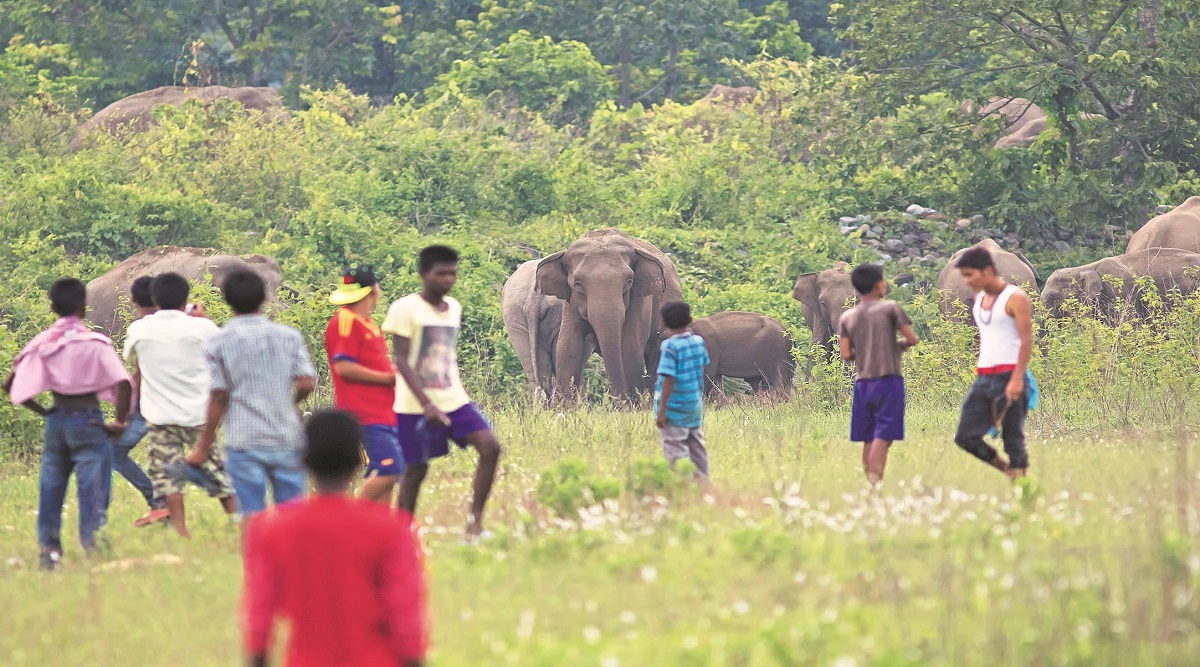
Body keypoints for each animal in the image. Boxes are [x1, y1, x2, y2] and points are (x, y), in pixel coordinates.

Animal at [536, 228, 682, 401]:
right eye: (577, 284)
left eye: (629, 282)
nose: (616, 398)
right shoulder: (570, 304)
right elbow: (568, 345)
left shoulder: (640, 301)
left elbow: (629, 344)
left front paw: (632, 403)